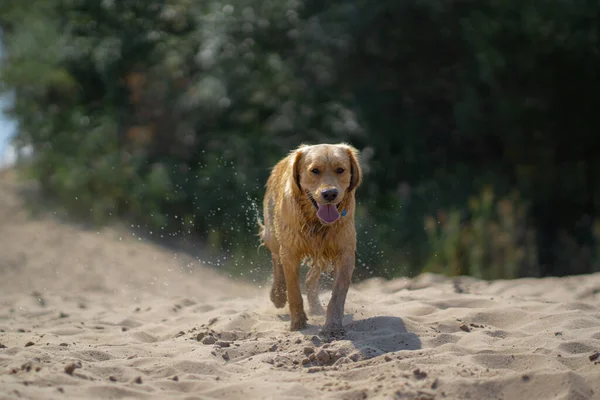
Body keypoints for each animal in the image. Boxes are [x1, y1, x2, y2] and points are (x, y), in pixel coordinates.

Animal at [258, 144, 360, 334]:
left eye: (340, 170)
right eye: (314, 170)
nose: (330, 194)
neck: (315, 221)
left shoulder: (345, 252)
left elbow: (338, 294)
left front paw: (333, 326)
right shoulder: (290, 251)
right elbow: (293, 291)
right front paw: (298, 323)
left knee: (310, 278)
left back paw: (315, 307)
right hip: (273, 234)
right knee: (276, 260)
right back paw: (278, 294)